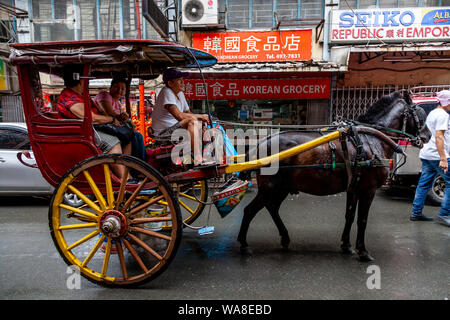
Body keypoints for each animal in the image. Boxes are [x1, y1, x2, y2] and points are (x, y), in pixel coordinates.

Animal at [237, 91, 430, 262]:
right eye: (421, 114)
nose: (427, 136)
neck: (370, 139)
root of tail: (261, 143)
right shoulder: (368, 190)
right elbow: (362, 220)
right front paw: (363, 251)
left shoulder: (354, 188)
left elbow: (350, 216)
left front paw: (346, 245)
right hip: (269, 188)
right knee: (250, 210)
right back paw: (244, 245)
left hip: (282, 188)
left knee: (272, 207)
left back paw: (284, 238)